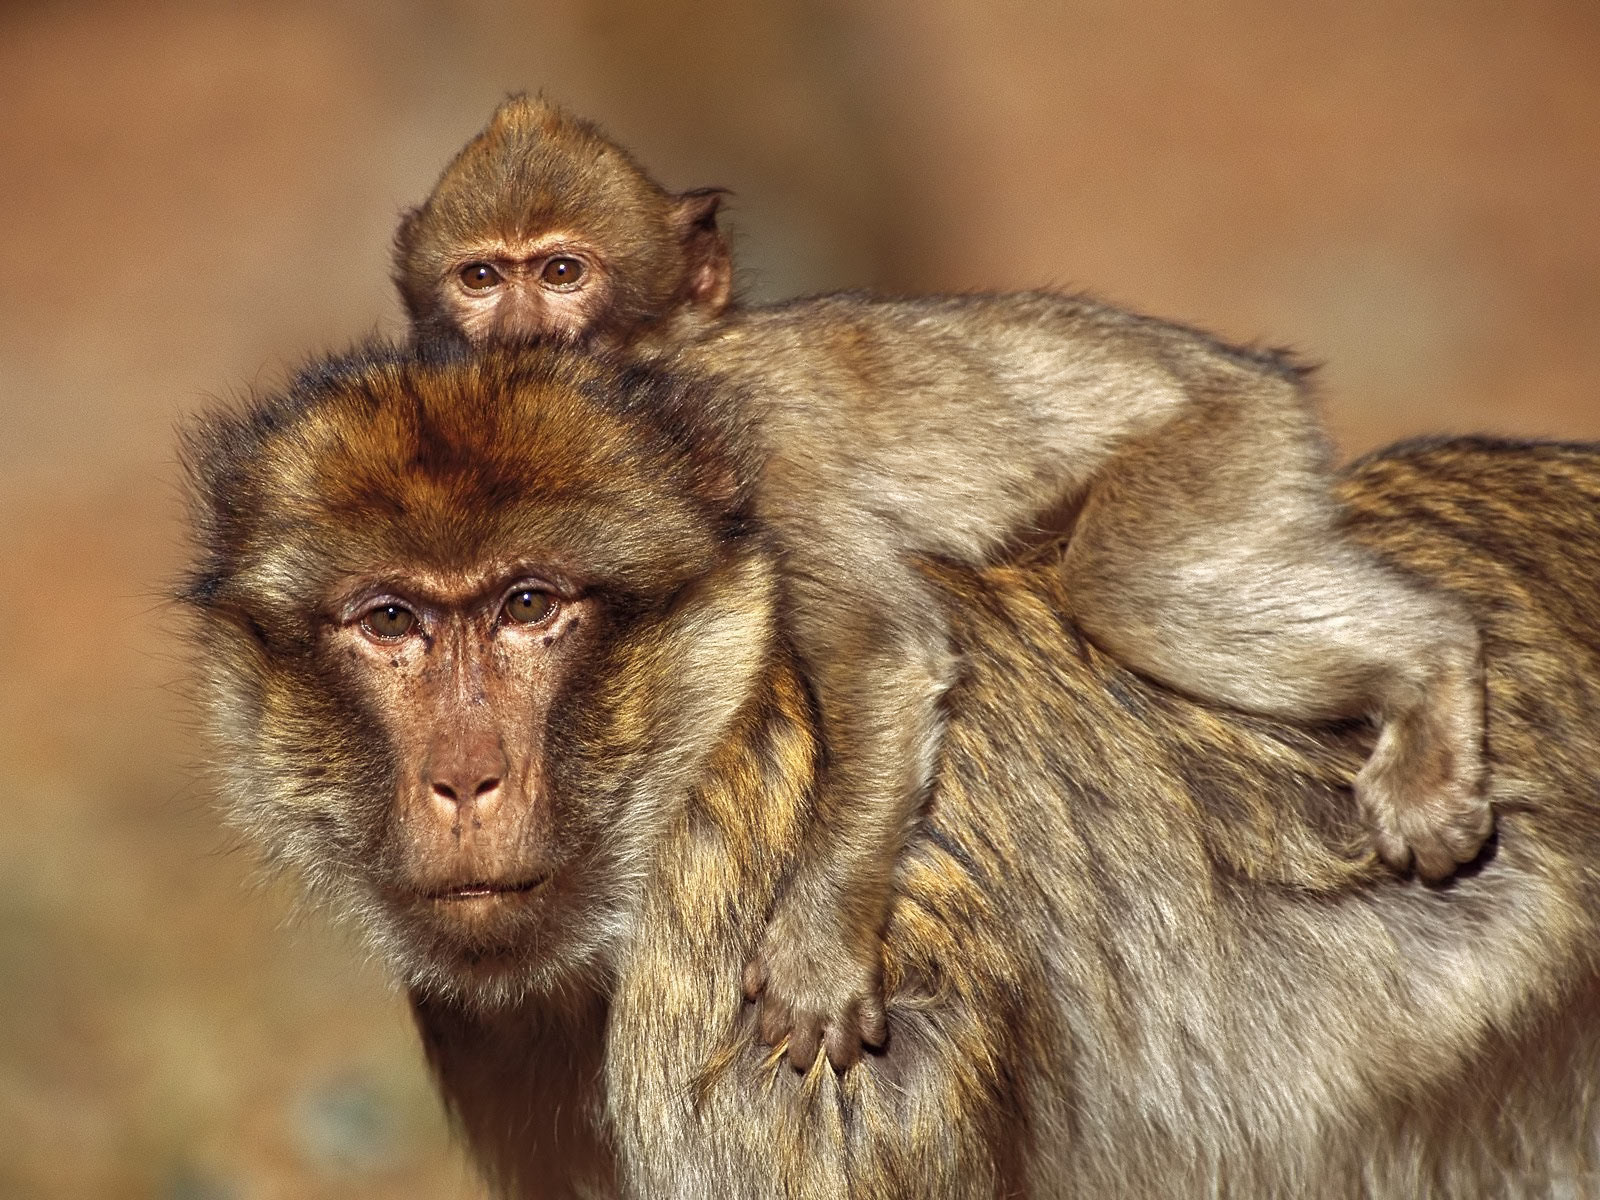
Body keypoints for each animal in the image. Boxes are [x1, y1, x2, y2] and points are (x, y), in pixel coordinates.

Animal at [388, 97, 1494, 1073]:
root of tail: (1253, 370)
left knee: (1127, 583)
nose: (517, 335)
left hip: (1223, 443)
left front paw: (818, 949)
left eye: (561, 272)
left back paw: (1433, 664)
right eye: (481, 277)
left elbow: (883, 652)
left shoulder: (758, 447)